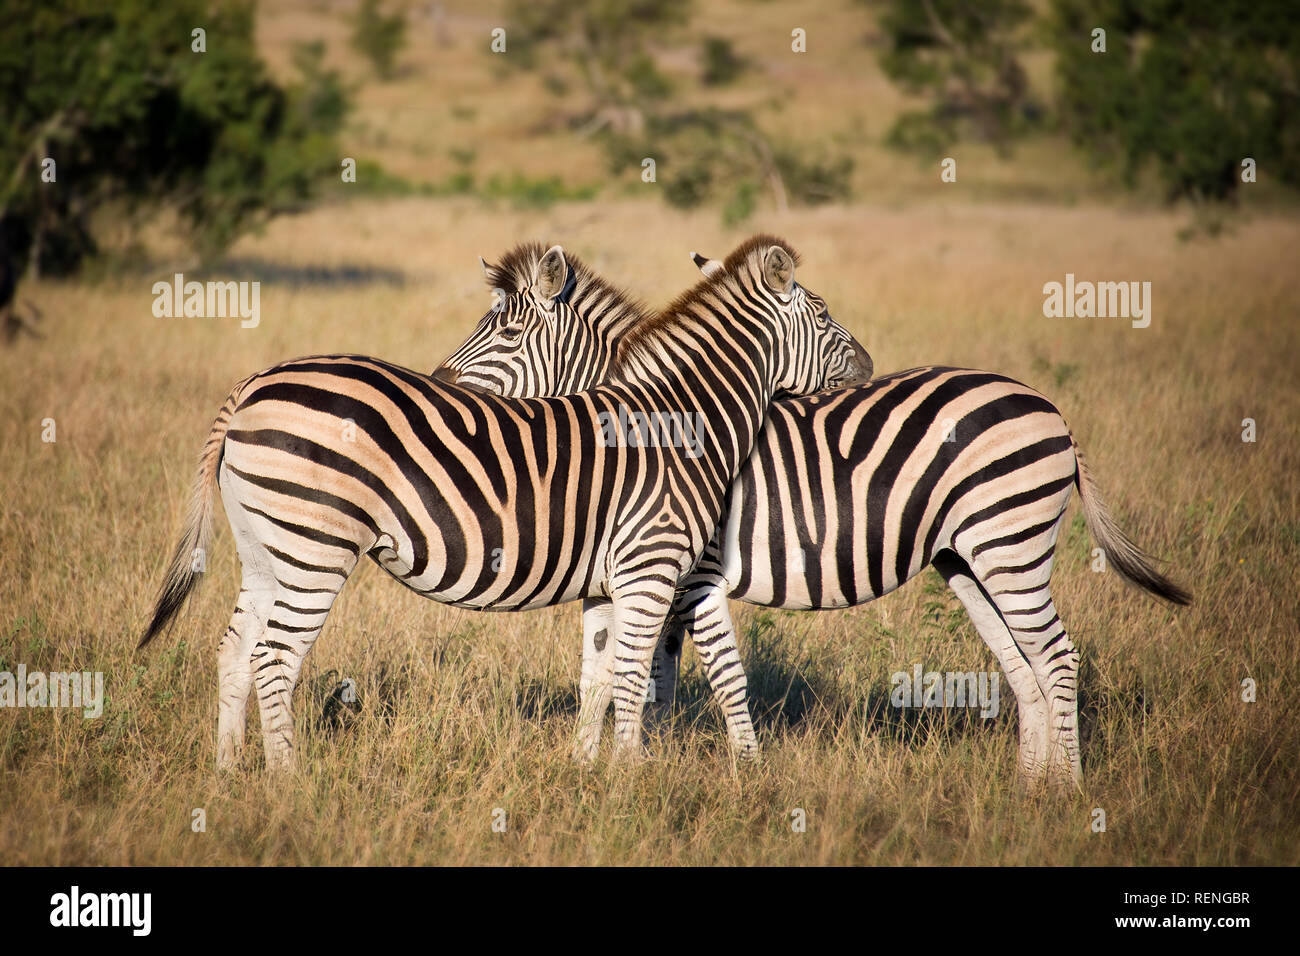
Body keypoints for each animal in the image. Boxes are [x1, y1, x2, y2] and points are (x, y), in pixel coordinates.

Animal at [139, 235, 873, 775]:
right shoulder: (660, 566)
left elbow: (601, 677)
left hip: (269, 548)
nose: (868, 364)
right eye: (825, 315)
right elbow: (655, 674)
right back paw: (290, 783)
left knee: (235, 651)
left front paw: (588, 775)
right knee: (274, 659)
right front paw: (641, 779)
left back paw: (229, 775)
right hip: (314, 546)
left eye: (508, 334)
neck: (679, 420)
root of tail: (253, 384)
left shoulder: (609, 581)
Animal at [434, 251, 1190, 790]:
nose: (439, 385)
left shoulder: (691, 570)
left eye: (505, 331)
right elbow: (653, 675)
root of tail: (1048, 405)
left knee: (1056, 656)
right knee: (1022, 660)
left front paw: (697, 772)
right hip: (970, 557)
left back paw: (1068, 791)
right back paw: (1030, 787)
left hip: (1010, 541)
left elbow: (687, 672)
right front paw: (621, 765)